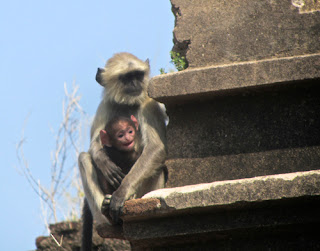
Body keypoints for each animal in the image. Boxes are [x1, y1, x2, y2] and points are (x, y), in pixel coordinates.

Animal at [79, 52, 169, 250]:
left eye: (137, 75)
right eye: (126, 78)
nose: (135, 84)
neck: (128, 104)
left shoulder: (149, 105)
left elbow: (156, 148)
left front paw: (121, 193)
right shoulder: (106, 105)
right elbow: (94, 145)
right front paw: (104, 162)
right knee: (83, 157)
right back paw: (106, 215)